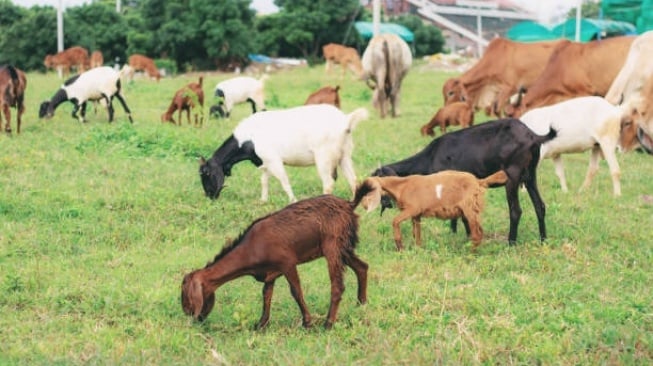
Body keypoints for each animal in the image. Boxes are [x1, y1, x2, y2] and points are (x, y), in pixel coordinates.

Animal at [181, 194, 370, 328]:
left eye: (185, 293)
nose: (191, 316)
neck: (251, 247)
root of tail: (349, 204)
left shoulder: (287, 263)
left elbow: (296, 291)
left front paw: (307, 322)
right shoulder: (270, 273)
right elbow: (266, 295)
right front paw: (261, 324)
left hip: (333, 245)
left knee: (338, 285)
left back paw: (328, 323)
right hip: (344, 247)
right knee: (362, 267)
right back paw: (361, 304)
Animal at [199, 104, 366, 202]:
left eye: (207, 174)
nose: (210, 196)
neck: (248, 137)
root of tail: (345, 121)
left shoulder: (274, 160)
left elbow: (284, 181)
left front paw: (293, 201)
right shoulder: (265, 162)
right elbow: (264, 181)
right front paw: (263, 201)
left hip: (323, 157)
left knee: (329, 183)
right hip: (344, 155)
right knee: (353, 180)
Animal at [354, 169, 506, 250]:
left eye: (366, 190)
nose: (363, 205)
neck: (401, 187)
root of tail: (478, 182)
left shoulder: (412, 209)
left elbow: (395, 221)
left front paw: (400, 246)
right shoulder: (416, 215)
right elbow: (416, 232)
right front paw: (418, 248)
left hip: (469, 208)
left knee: (477, 233)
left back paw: (470, 252)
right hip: (473, 210)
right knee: (480, 231)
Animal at [372, 117, 556, 244]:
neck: (430, 157)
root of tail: (533, 136)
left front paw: (466, 235)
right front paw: (456, 233)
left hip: (512, 175)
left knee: (516, 211)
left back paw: (511, 242)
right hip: (530, 175)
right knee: (540, 206)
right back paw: (544, 239)